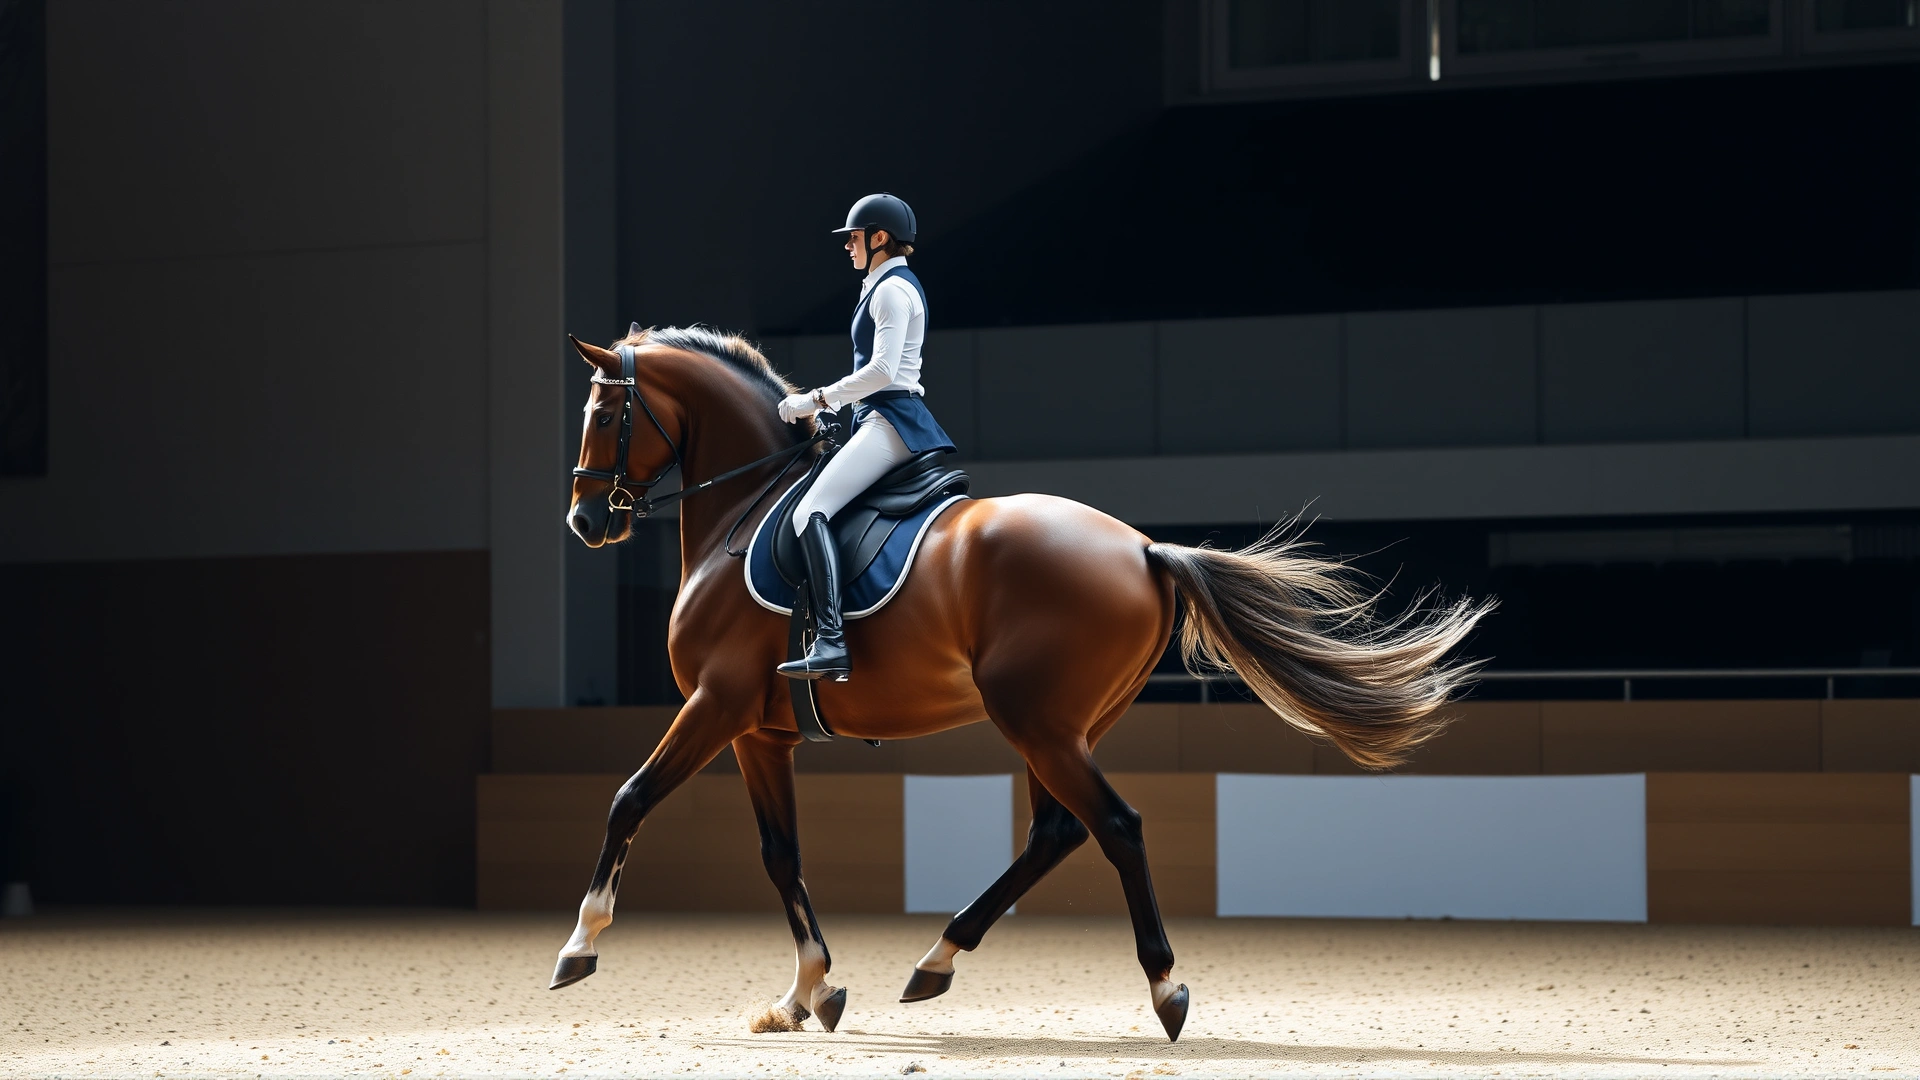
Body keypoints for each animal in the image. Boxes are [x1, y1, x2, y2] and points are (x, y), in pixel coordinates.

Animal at [552, 325, 1492, 1041]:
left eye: (604, 412)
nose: (586, 520)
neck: (742, 516)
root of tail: (1142, 548)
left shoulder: (711, 706)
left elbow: (629, 799)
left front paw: (580, 947)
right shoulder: (758, 731)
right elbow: (781, 855)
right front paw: (808, 992)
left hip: (1035, 720)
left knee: (1113, 825)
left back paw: (1165, 989)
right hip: (1061, 725)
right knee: (1056, 832)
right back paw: (934, 962)